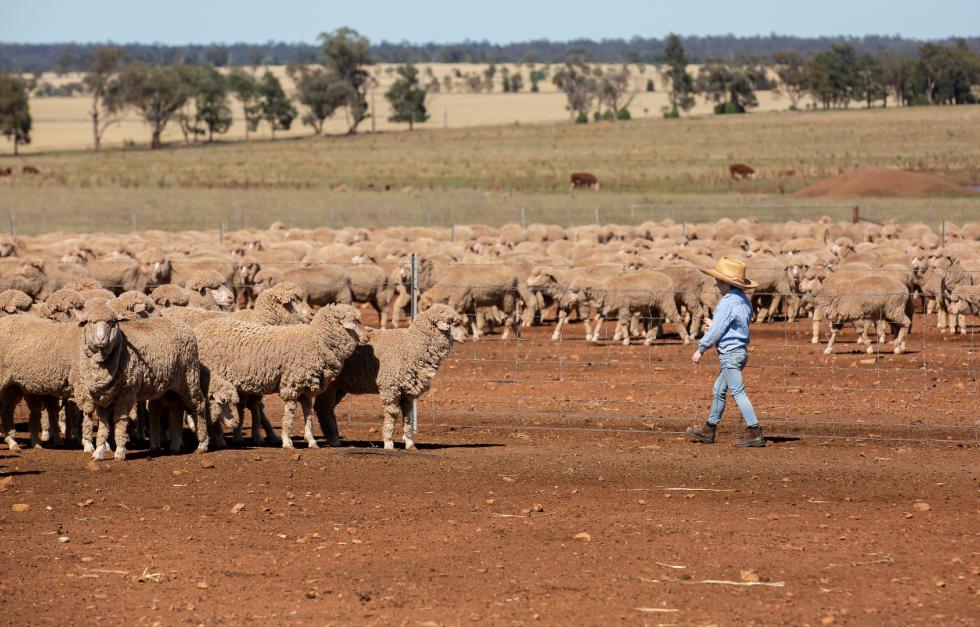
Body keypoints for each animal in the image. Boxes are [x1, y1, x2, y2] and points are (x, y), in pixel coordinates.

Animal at [195, 304, 367, 449]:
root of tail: (199, 329)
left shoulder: (304, 387)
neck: (315, 340)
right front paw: (287, 442)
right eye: (354, 321)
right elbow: (289, 415)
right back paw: (218, 439)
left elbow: (308, 415)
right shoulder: (291, 385)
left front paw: (311, 441)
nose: (367, 336)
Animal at [315, 304, 468, 449]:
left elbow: (407, 416)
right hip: (330, 385)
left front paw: (410, 443)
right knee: (323, 409)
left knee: (328, 409)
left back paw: (334, 436)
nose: (467, 335)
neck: (412, 345)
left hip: (339, 386)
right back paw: (333, 440)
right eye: (452, 323)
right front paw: (388, 443)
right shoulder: (390, 387)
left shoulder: (406, 390)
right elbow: (392, 415)